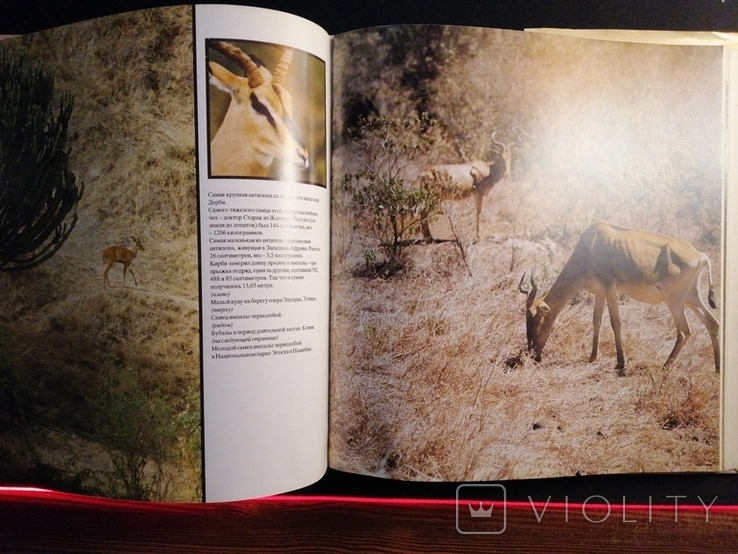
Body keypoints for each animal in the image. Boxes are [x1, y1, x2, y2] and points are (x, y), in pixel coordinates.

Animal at [516, 222, 720, 374]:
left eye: (538, 321)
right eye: (526, 323)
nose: (534, 356)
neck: (593, 244)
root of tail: (701, 255)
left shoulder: (609, 288)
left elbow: (615, 322)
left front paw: (620, 363)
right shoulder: (599, 292)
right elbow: (597, 321)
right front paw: (592, 357)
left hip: (675, 299)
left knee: (684, 331)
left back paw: (664, 367)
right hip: (692, 297)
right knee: (713, 324)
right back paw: (717, 370)